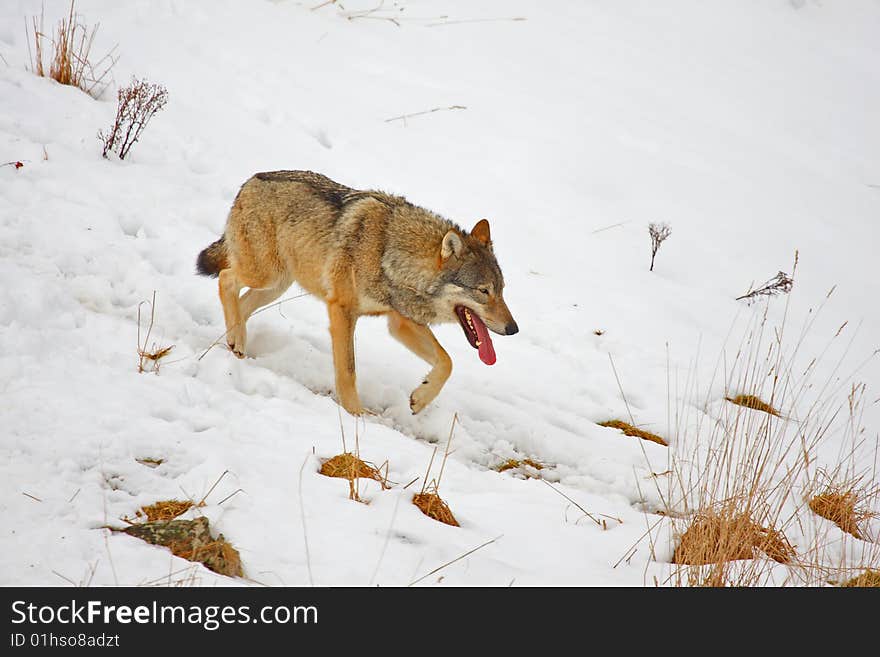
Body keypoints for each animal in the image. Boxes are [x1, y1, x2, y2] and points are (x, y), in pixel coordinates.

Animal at [196, 170, 520, 416]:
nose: (514, 329)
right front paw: (356, 415)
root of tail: (251, 180)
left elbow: (447, 362)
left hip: (276, 285)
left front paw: (420, 397)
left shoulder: (400, 322)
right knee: (225, 280)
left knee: (241, 303)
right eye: (483, 291)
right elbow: (348, 371)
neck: (389, 253)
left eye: (502, 291)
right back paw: (236, 339)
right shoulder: (342, 310)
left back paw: (236, 342)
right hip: (265, 275)